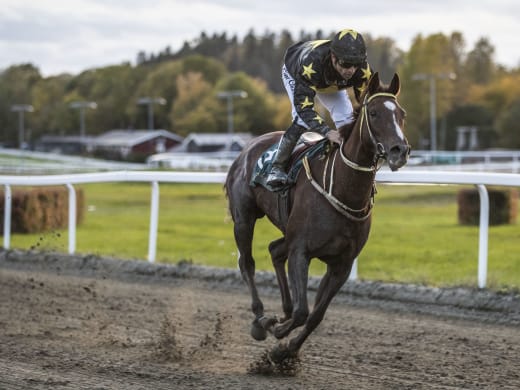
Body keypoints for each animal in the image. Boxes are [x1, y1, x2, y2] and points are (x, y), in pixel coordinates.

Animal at [223, 71, 410, 364]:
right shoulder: (301, 250)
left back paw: (280, 313)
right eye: (375, 113)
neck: (342, 188)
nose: (399, 150)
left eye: (402, 114)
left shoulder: (341, 264)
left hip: (286, 230)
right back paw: (260, 319)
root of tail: (248, 147)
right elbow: (303, 311)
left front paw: (285, 350)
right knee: (248, 263)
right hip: (244, 218)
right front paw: (277, 330)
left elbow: (315, 315)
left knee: (275, 250)